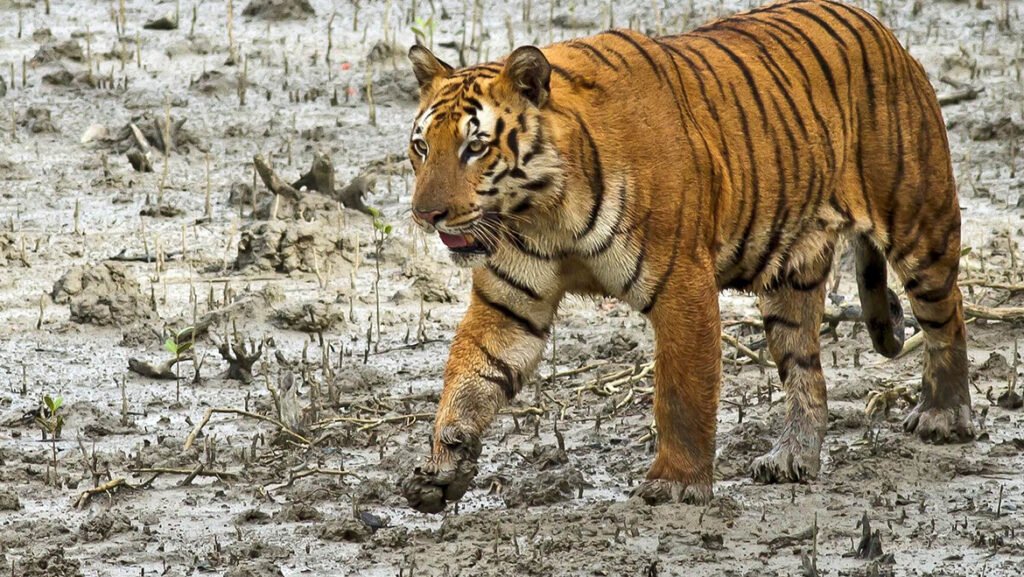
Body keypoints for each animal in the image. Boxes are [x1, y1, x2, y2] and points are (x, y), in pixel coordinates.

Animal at [400, 0, 972, 514]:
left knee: (947, 317)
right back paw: (791, 459)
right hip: (790, 278)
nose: (425, 214)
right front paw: (442, 467)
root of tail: (880, 28)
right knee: (806, 370)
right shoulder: (510, 304)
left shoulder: (681, 284)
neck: (544, 209)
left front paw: (674, 483)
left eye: (475, 148)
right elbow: (470, 376)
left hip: (920, 224)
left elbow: (680, 393)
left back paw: (944, 417)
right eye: (422, 147)